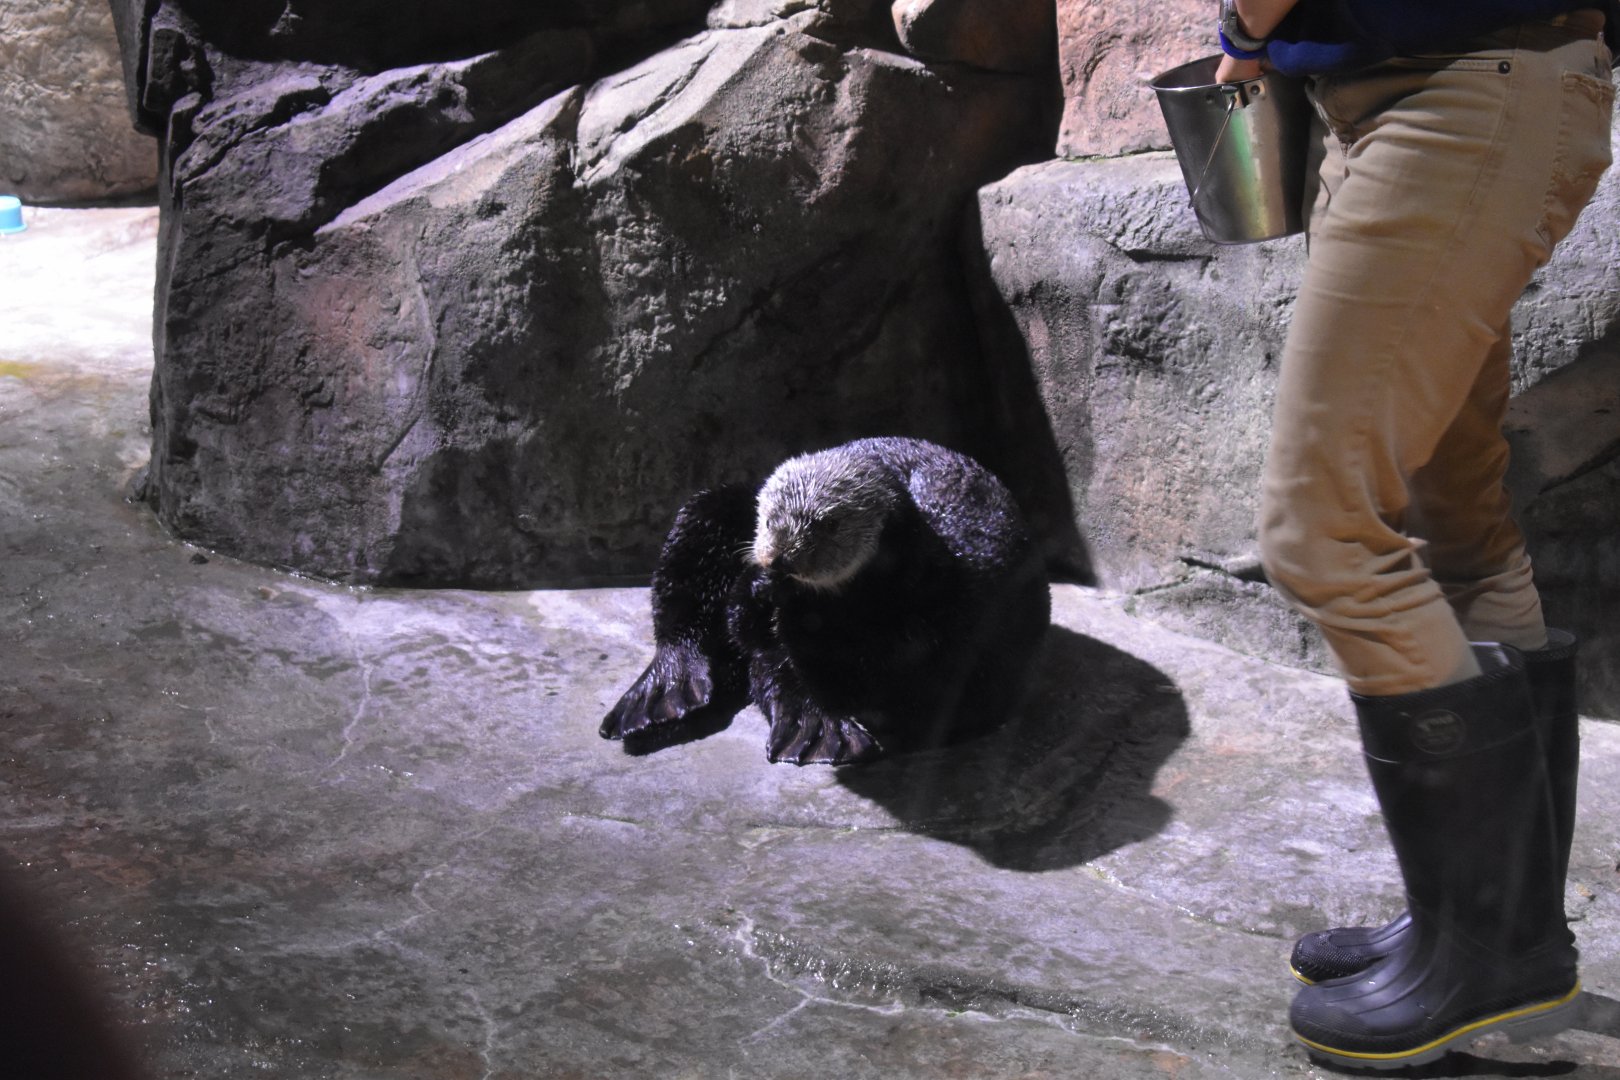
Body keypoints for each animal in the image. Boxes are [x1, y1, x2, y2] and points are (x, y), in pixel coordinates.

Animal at [600, 437, 1051, 765]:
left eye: (829, 524)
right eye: (767, 520)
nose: (779, 558)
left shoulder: (939, 611)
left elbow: (893, 660)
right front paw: (758, 592)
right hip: (711, 512)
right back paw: (666, 691)